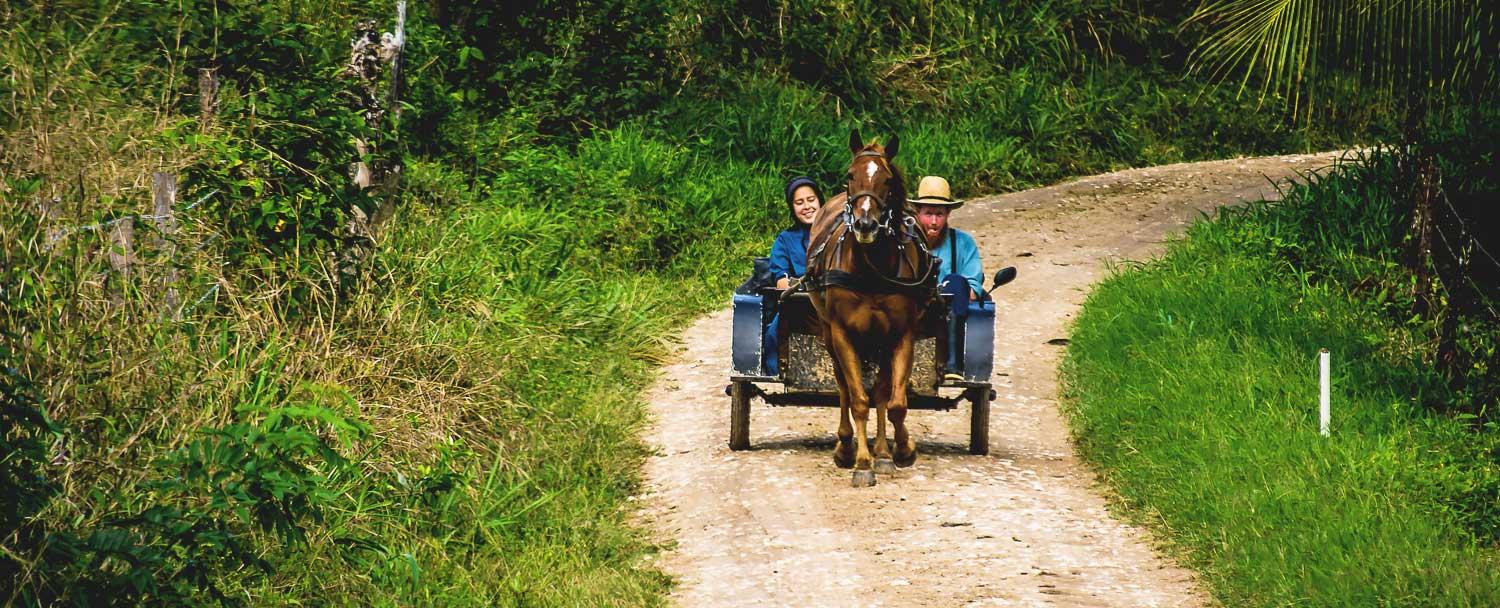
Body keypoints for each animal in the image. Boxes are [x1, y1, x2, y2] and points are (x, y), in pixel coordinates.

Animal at [810, 129, 936, 489]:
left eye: (887, 179)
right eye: (850, 175)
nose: (865, 224)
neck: (870, 268)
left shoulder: (900, 333)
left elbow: (894, 403)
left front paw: (900, 450)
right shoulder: (843, 333)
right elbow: (858, 400)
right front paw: (862, 463)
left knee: (881, 391)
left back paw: (882, 452)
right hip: (828, 333)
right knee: (843, 386)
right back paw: (846, 446)